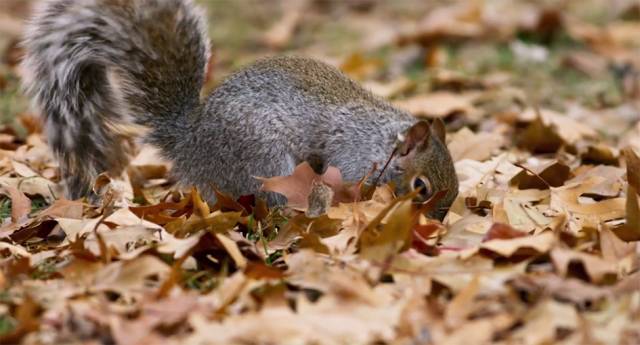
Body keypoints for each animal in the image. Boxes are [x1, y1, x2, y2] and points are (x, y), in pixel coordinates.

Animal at [21, 0, 460, 219]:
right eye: (421, 187)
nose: (437, 220)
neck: (382, 139)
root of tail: (192, 145)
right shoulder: (352, 158)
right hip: (264, 159)